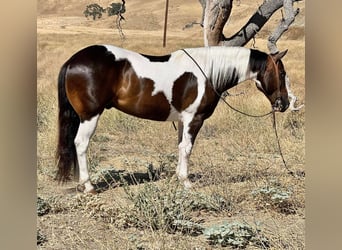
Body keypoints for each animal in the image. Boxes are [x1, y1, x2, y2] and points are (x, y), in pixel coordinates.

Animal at [55, 44, 288, 193]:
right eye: (282, 74)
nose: (284, 103)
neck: (208, 72)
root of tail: (72, 61)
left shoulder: (184, 120)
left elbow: (180, 147)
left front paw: (178, 177)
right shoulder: (194, 118)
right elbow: (187, 148)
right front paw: (186, 182)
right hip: (90, 116)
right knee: (81, 144)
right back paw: (88, 186)